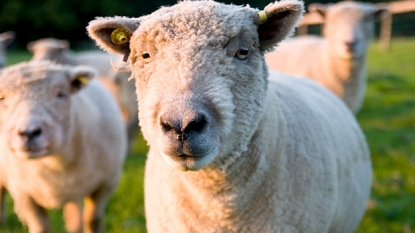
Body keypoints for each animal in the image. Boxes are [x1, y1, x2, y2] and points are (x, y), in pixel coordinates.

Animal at [0, 61, 127, 233]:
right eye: (2, 97)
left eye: (60, 94)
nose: (29, 132)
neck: (56, 162)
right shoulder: (24, 194)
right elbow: (40, 227)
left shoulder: (105, 186)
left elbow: (92, 220)